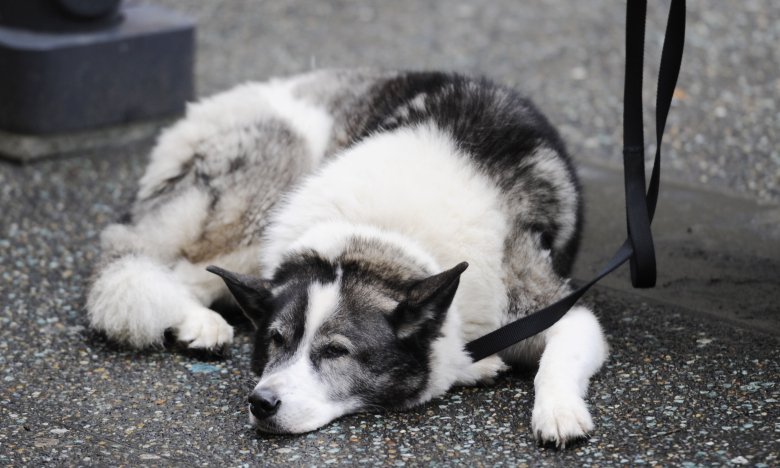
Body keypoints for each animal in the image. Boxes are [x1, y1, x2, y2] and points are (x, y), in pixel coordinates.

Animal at [87, 68, 608, 446]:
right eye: (275, 340)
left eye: (337, 352)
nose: (262, 403)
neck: (377, 234)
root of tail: (189, 121)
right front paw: (470, 365)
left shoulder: (555, 307)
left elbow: (557, 356)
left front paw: (558, 410)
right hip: (263, 203)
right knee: (164, 265)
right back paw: (197, 322)